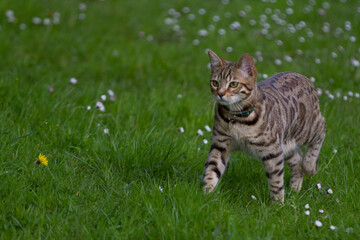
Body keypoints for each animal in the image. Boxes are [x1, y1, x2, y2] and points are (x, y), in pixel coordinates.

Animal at [202, 49, 326, 203]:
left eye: (233, 84)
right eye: (215, 82)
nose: (219, 93)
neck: (238, 119)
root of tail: (304, 77)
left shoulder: (272, 152)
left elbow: (276, 181)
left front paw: (277, 204)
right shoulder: (220, 144)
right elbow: (211, 169)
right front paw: (206, 194)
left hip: (306, 130)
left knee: (321, 128)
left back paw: (309, 165)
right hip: (286, 143)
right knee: (297, 159)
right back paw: (295, 188)